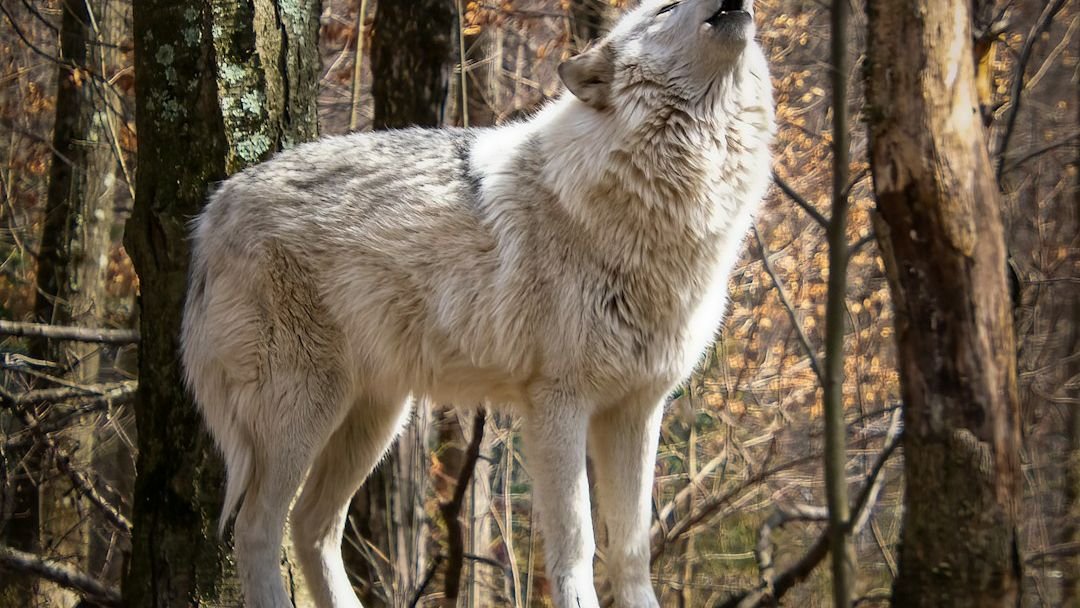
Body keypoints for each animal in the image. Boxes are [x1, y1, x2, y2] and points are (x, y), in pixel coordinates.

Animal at [181, 0, 772, 606]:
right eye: (666, 7)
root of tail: (212, 211)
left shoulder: (637, 409)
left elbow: (633, 550)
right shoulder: (558, 402)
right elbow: (577, 541)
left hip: (375, 420)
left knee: (311, 527)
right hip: (304, 413)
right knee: (255, 528)